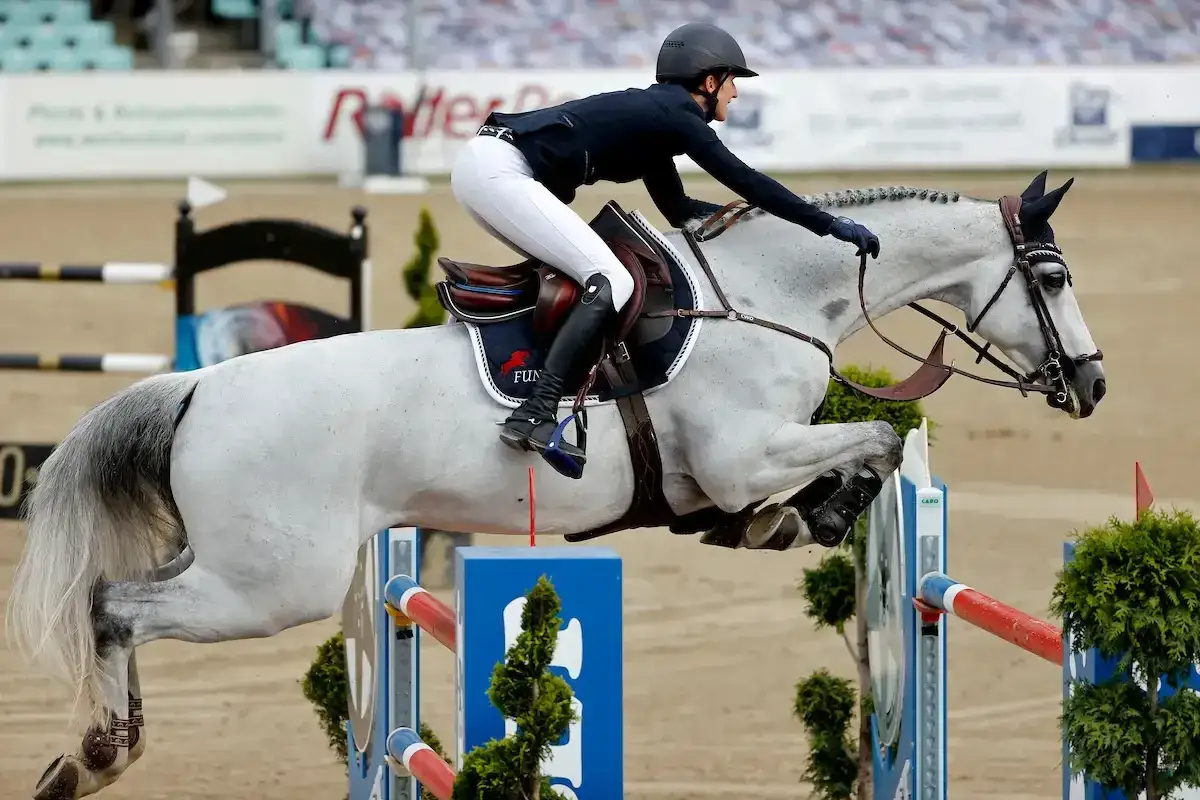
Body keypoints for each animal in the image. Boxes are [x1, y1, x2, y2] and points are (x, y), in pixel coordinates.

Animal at [6, 171, 1104, 799]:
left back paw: (87, 756)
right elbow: (876, 435)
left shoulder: (752, 453)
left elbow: (867, 440)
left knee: (117, 605)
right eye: (1052, 280)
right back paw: (98, 755)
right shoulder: (745, 451)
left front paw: (784, 520)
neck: (771, 298)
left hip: (238, 566)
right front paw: (802, 517)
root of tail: (195, 386)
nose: (1092, 385)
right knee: (113, 606)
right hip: (269, 585)